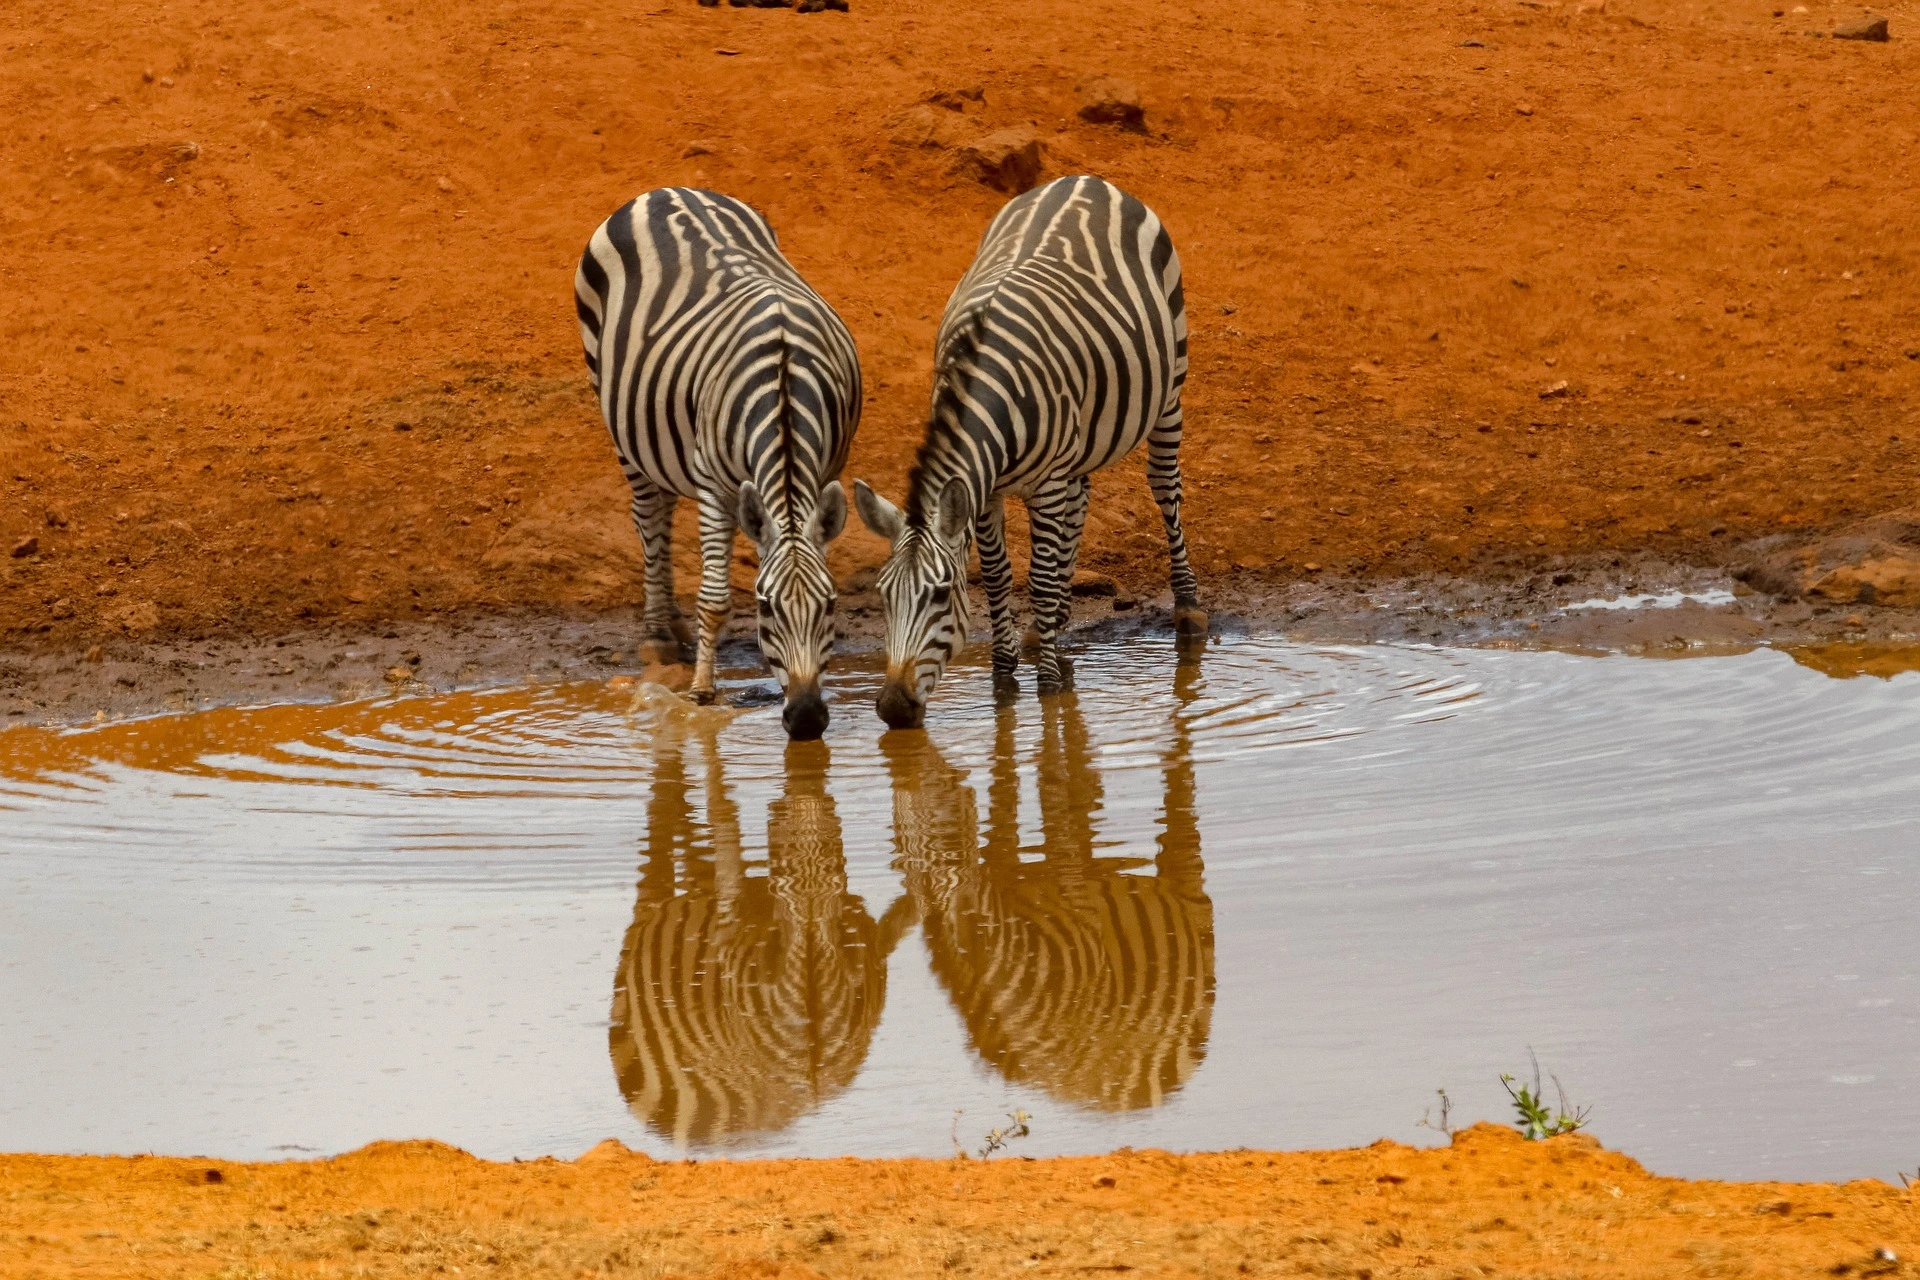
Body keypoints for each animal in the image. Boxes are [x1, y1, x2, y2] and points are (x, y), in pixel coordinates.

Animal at [575, 187, 860, 739]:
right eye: (766, 608)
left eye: (831, 605)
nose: (807, 718)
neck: (783, 382)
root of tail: (668, 189)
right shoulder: (714, 484)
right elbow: (714, 598)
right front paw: (703, 693)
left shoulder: (829, 468)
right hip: (618, 412)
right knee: (650, 515)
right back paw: (659, 634)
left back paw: (673, 626)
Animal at [852, 175, 1205, 729]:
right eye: (883, 596)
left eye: (939, 596)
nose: (893, 707)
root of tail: (1084, 179)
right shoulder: (986, 491)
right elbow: (999, 579)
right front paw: (1005, 674)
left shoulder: (1044, 483)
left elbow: (1035, 579)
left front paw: (1047, 684)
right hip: (1081, 439)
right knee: (1081, 504)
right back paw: (1052, 625)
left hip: (1170, 384)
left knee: (1164, 486)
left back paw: (1187, 607)